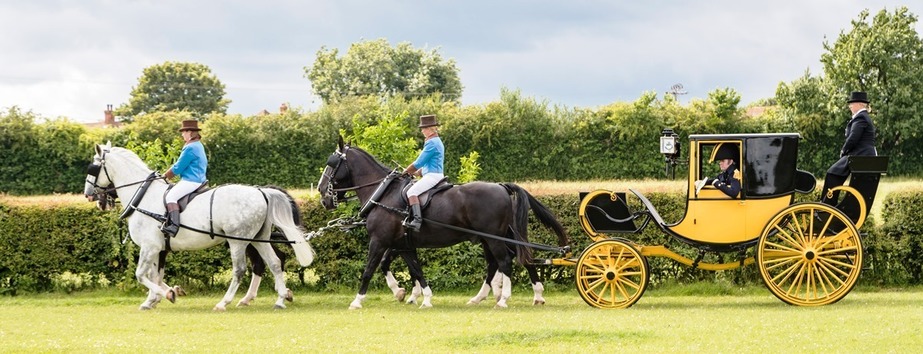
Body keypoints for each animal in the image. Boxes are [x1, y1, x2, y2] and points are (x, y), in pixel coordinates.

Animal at [83, 142, 314, 312]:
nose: (89, 195)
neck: (144, 197)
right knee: (274, 263)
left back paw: (224, 302)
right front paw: (156, 298)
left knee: (240, 270)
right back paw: (280, 299)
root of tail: (260, 191)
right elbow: (155, 275)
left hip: (238, 241)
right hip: (257, 239)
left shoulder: (150, 247)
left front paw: (165, 294)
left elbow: (141, 274)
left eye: (93, 167)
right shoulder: (159, 249)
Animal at [316, 137, 572, 308]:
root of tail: (500, 186)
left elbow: (370, 268)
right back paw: (507, 296)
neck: (383, 194)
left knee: (506, 261)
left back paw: (503, 299)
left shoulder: (379, 241)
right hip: (493, 238)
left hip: (493, 238)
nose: (322, 193)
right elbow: (414, 269)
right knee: (509, 261)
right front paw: (418, 296)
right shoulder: (403, 245)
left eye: (331, 163)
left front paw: (358, 300)